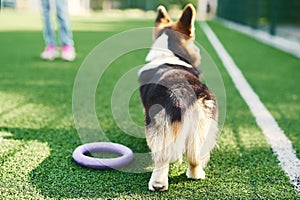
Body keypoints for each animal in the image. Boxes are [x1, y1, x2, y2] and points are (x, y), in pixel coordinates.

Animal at [138, 3, 218, 191]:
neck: (169, 54)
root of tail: (184, 92)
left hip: (160, 123)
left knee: (162, 159)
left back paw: (158, 184)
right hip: (203, 124)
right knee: (195, 156)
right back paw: (196, 175)